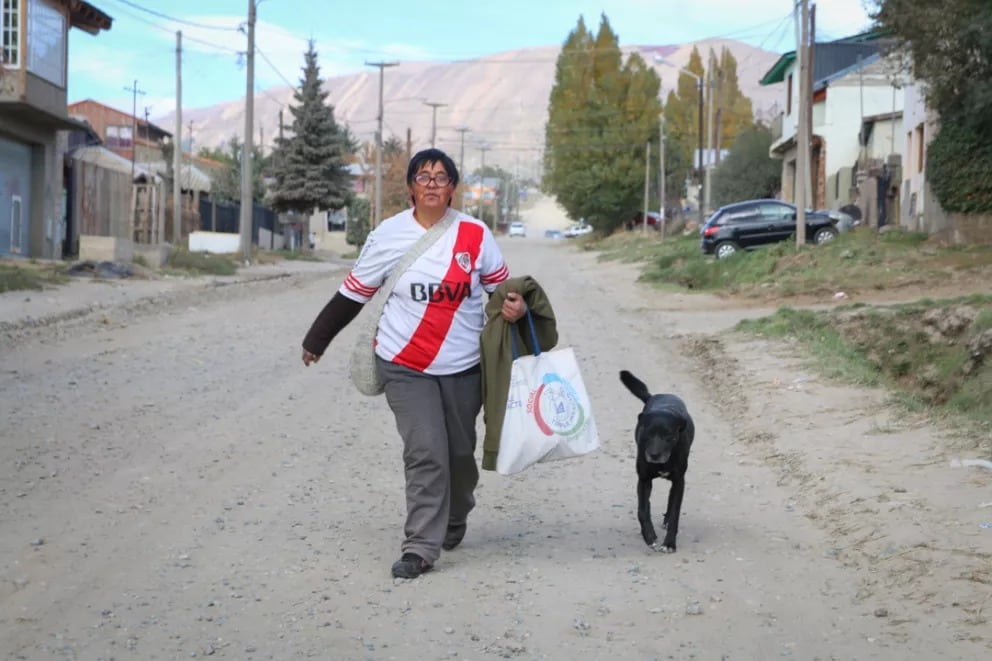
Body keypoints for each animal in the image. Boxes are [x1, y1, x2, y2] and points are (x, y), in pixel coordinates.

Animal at [616, 372, 692, 552]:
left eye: (669, 436)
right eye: (647, 434)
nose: (654, 455)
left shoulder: (679, 481)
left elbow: (675, 513)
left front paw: (669, 543)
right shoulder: (644, 480)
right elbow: (642, 511)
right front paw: (649, 536)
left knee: (671, 502)